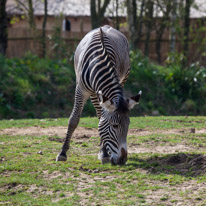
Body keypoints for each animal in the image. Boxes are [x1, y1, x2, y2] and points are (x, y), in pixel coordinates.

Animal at [55, 25, 141, 165]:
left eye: (128, 126)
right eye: (115, 126)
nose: (122, 160)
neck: (98, 60)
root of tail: (106, 26)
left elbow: (101, 120)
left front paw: (104, 153)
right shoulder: (80, 90)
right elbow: (73, 120)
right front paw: (62, 153)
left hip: (122, 79)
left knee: (101, 114)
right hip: (94, 94)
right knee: (99, 114)